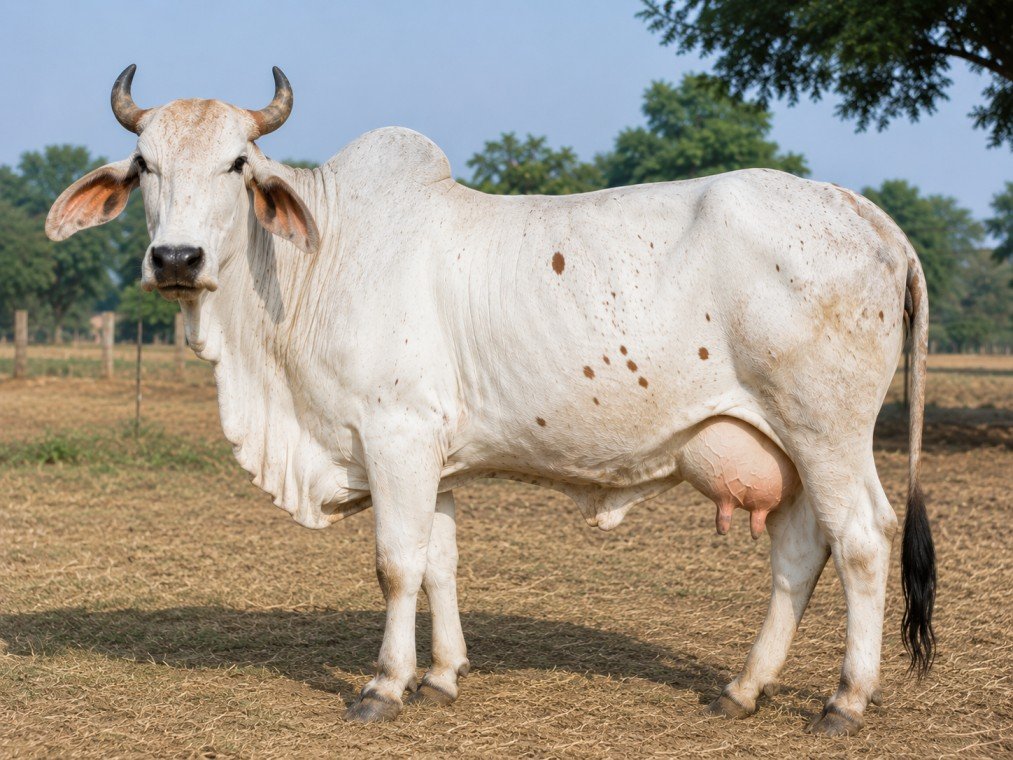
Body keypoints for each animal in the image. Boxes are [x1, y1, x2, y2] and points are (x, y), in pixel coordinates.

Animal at [46, 66, 935, 735]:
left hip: (826, 430)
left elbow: (396, 564)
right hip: (783, 441)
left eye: (237, 163)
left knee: (860, 541)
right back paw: (743, 688)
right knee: (798, 552)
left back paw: (845, 700)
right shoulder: (431, 454)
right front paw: (442, 675)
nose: (176, 258)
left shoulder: (396, 436)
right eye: (143, 165)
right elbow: (439, 560)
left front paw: (385, 684)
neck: (314, 263)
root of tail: (868, 215)